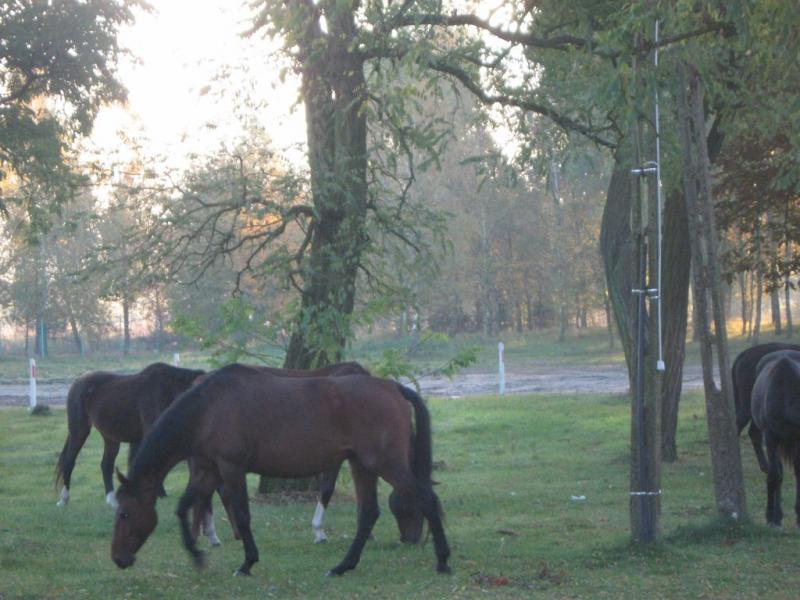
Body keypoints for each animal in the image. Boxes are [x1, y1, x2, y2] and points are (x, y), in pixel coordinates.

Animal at [111, 364, 450, 580]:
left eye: (125, 513)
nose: (118, 558)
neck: (207, 408)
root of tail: (393, 387)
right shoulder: (208, 470)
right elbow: (184, 507)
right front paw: (196, 553)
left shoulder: (231, 468)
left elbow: (242, 515)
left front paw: (247, 563)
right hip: (362, 465)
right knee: (368, 513)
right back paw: (342, 567)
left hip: (384, 463)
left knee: (426, 499)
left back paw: (443, 562)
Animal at [752, 352, 800, 524]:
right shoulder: (771, 438)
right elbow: (774, 475)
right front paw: (771, 517)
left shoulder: (797, 439)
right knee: (777, 472)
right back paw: (776, 514)